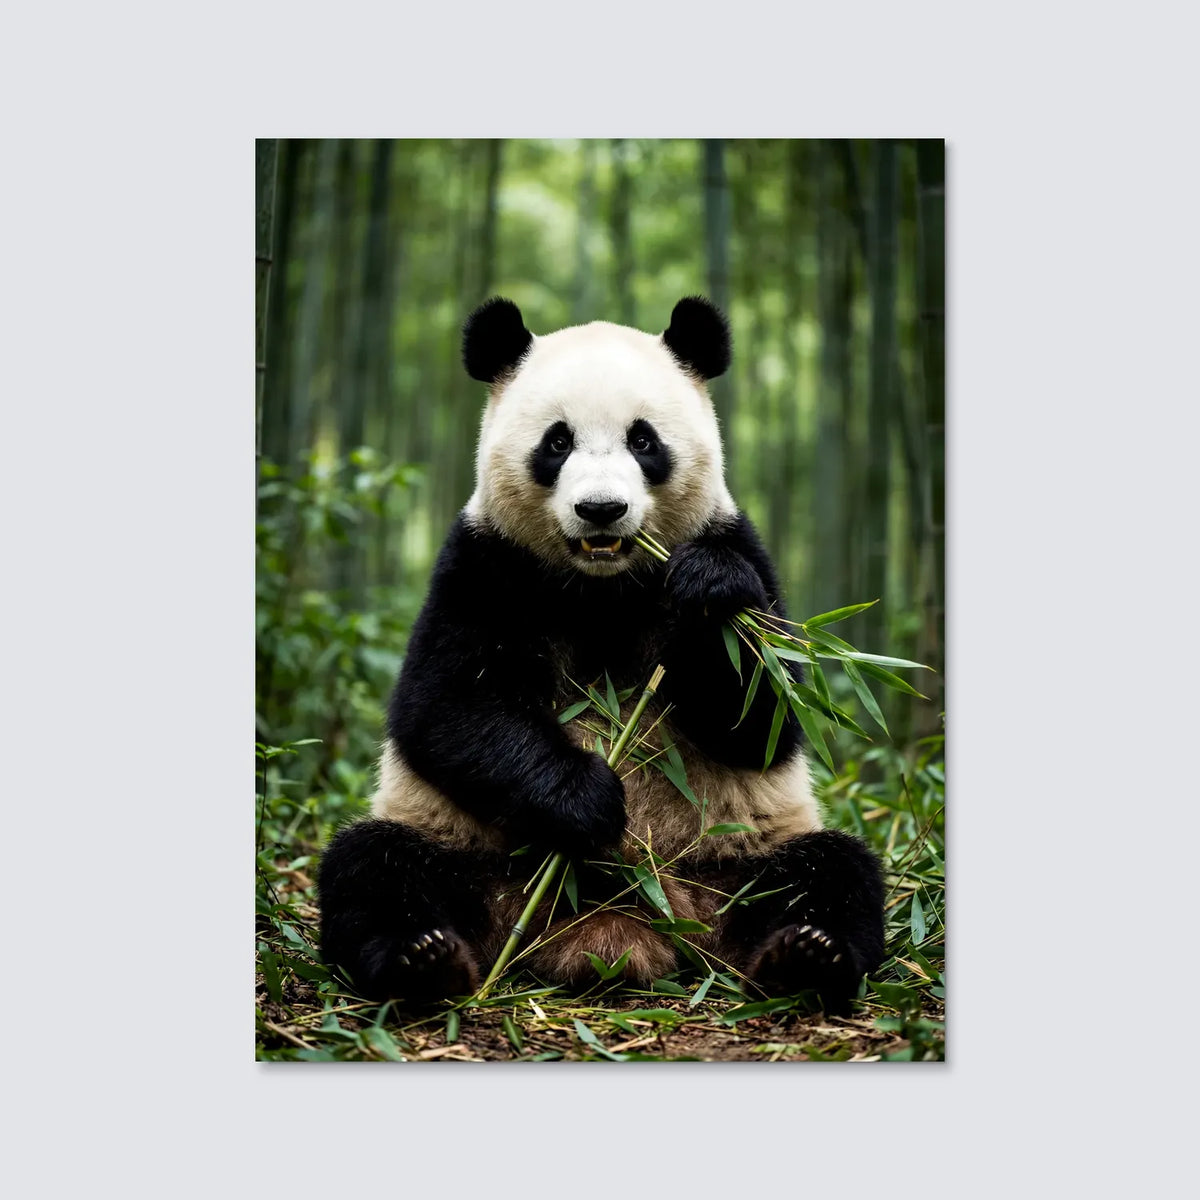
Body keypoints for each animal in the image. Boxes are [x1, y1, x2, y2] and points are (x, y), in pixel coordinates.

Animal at [318, 296, 885, 1010]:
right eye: (556, 442)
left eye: (644, 441)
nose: (601, 510)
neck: (601, 587)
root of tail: (621, 929)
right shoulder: (486, 563)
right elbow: (446, 704)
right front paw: (586, 797)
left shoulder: (737, 544)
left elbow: (764, 717)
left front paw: (710, 592)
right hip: (471, 852)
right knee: (374, 867)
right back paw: (423, 960)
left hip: (734, 857)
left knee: (830, 871)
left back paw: (806, 955)